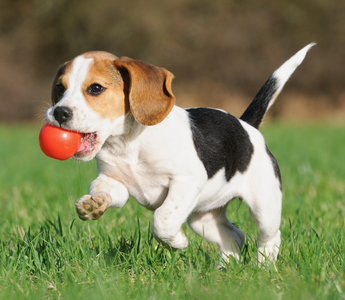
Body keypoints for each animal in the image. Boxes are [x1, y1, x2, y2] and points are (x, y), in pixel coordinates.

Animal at [44, 43, 314, 264]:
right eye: (59, 88)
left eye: (96, 88)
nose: (59, 112)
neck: (128, 144)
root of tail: (245, 125)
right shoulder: (115, 182)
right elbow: (102, 189)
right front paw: (93, 204)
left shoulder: (186, 181)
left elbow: (162, 220)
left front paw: (177, 242)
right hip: (203, 218)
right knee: (234, 236)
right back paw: (224, 271)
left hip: (264, 205)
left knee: (270, 237)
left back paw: (264, 268)